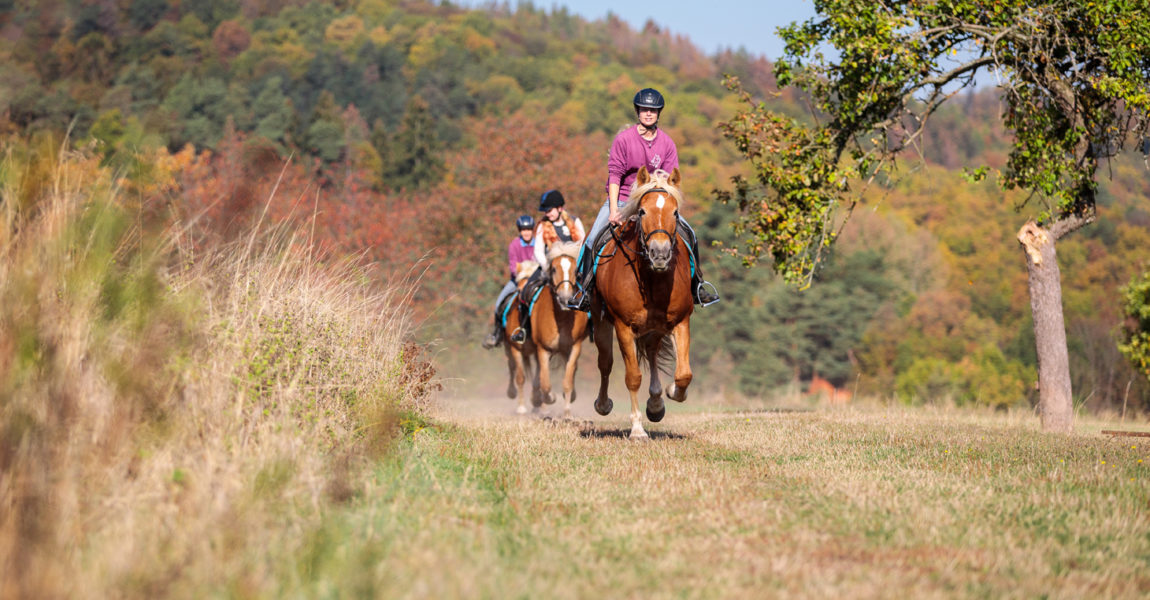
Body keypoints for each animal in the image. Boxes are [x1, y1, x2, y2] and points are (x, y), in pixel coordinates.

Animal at [501, 258, 540, 413]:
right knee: (512, 368)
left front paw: (538, 403)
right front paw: (522, 407)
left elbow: (538, 378)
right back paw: (512, 392)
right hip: (508, 348)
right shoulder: (515, 349)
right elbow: (520, 378)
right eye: (518, 284)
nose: (523, 299)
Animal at [526, 237, 588, 416]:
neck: (561, 319)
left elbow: (567, 381)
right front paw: (549, 398)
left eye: (576, 271)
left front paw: (567, 413)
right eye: (553, 269)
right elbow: (545, 383)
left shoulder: (574, 348)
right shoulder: (543, 349)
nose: (565, 298)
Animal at [593, 165, 690, 436]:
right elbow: (633, 377)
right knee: (605, 362)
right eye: (643, 210)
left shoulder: (681, 321)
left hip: (654, 328)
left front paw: (671, 392)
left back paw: (656, 403)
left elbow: (684, 374)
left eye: (675, 212)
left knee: (652, 352)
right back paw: (603, 404)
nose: (660, 254)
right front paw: (637, 429)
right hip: (601, 322)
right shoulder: (623, 326)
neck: (652, 277)